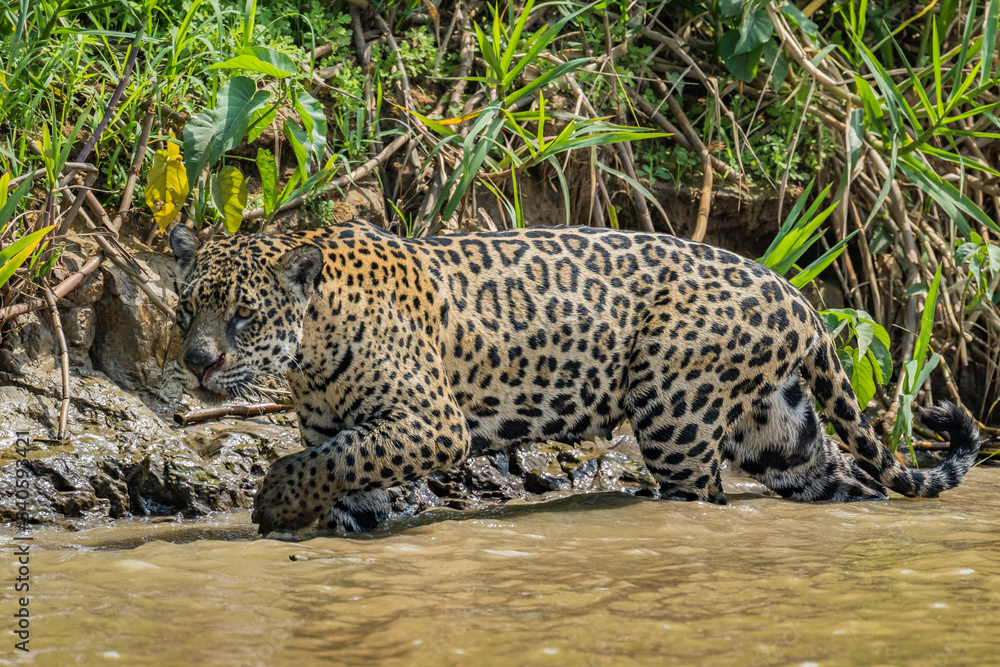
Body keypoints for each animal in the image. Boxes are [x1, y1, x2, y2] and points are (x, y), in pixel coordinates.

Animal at [169, 219, 981, 537]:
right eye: (184, 311)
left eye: (242, 317)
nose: (198, 362)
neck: (312, 346)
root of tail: (797, 295)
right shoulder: (344, 429)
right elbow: (343, 471)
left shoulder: (431, 422)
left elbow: (331, 458)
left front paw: (274, 500)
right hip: (780, 434)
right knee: (845, 479)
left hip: (676, 416)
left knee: (701, 493)